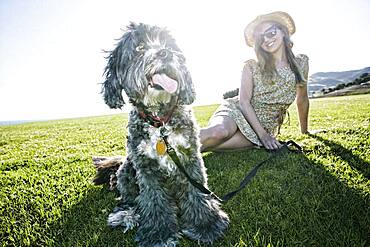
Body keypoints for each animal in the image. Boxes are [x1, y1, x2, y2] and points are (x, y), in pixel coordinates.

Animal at [94, 22, 228, 245]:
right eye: (139, 48)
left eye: (168, 44)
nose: (165, 53)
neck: (159, 123)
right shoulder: (145, 168)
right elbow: (153, 200)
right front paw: (159, 234)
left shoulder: (190, 158)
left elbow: (197, 192)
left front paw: (205, 225)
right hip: (126, 171)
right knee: (128, 199)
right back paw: (125, 215)